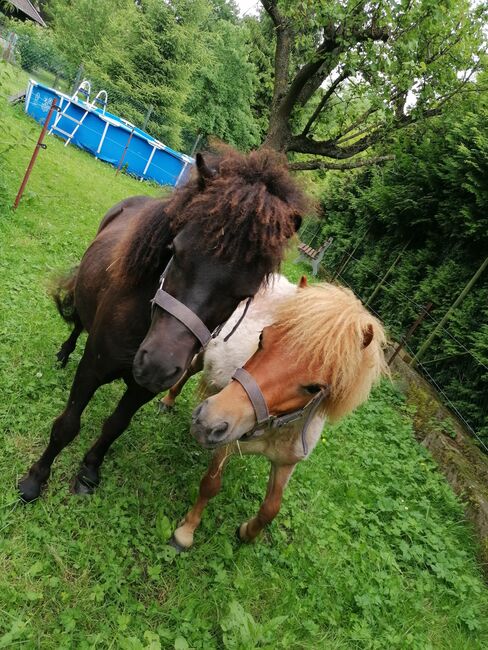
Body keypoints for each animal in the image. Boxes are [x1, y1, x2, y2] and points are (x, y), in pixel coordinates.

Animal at [20, 148, 308, 502]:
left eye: (244, 294)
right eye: (175, 251)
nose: (157, 365)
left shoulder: (141, 391)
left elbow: (114, 426)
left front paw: (89, 471)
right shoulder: (92, 368)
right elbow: (67, 424)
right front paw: (35, 479)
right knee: (77, 323)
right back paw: (63, 353)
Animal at [170, 280, 386, 548]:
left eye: (314, 388)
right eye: (262, 337)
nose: (208, 421)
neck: (275, 429)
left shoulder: (285, 464)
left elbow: (271, 508)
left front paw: (248, 532)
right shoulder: (227, 444)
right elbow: (210, 485)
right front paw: (186, 532)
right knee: (190, 369)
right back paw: (167, 400)